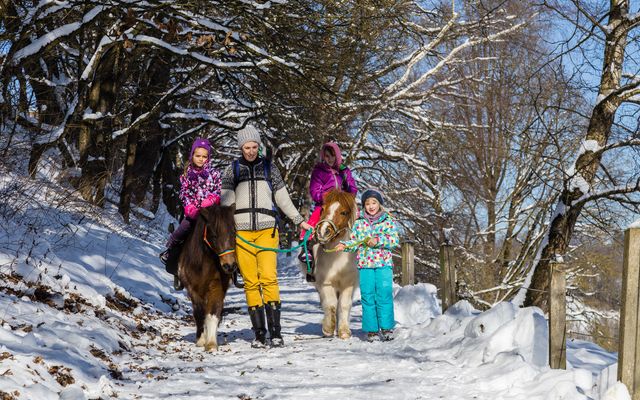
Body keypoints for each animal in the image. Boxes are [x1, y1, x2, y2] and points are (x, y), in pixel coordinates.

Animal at [178, 205, 238, 352]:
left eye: (234, 233)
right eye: (214, 235)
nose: (229, 266)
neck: (203, 264)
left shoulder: (217, 286)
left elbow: (212, 313)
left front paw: (211, 344)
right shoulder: (192, 289)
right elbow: (199, 313)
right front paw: (201, 340)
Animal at [306, 189, 358, 340]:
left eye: (344, 212)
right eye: (323, 208)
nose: (323, 231)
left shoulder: (348, 283)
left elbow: (344, 305)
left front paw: (344, 331)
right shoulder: (326, 283)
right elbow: (330, 305)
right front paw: (328, 329)